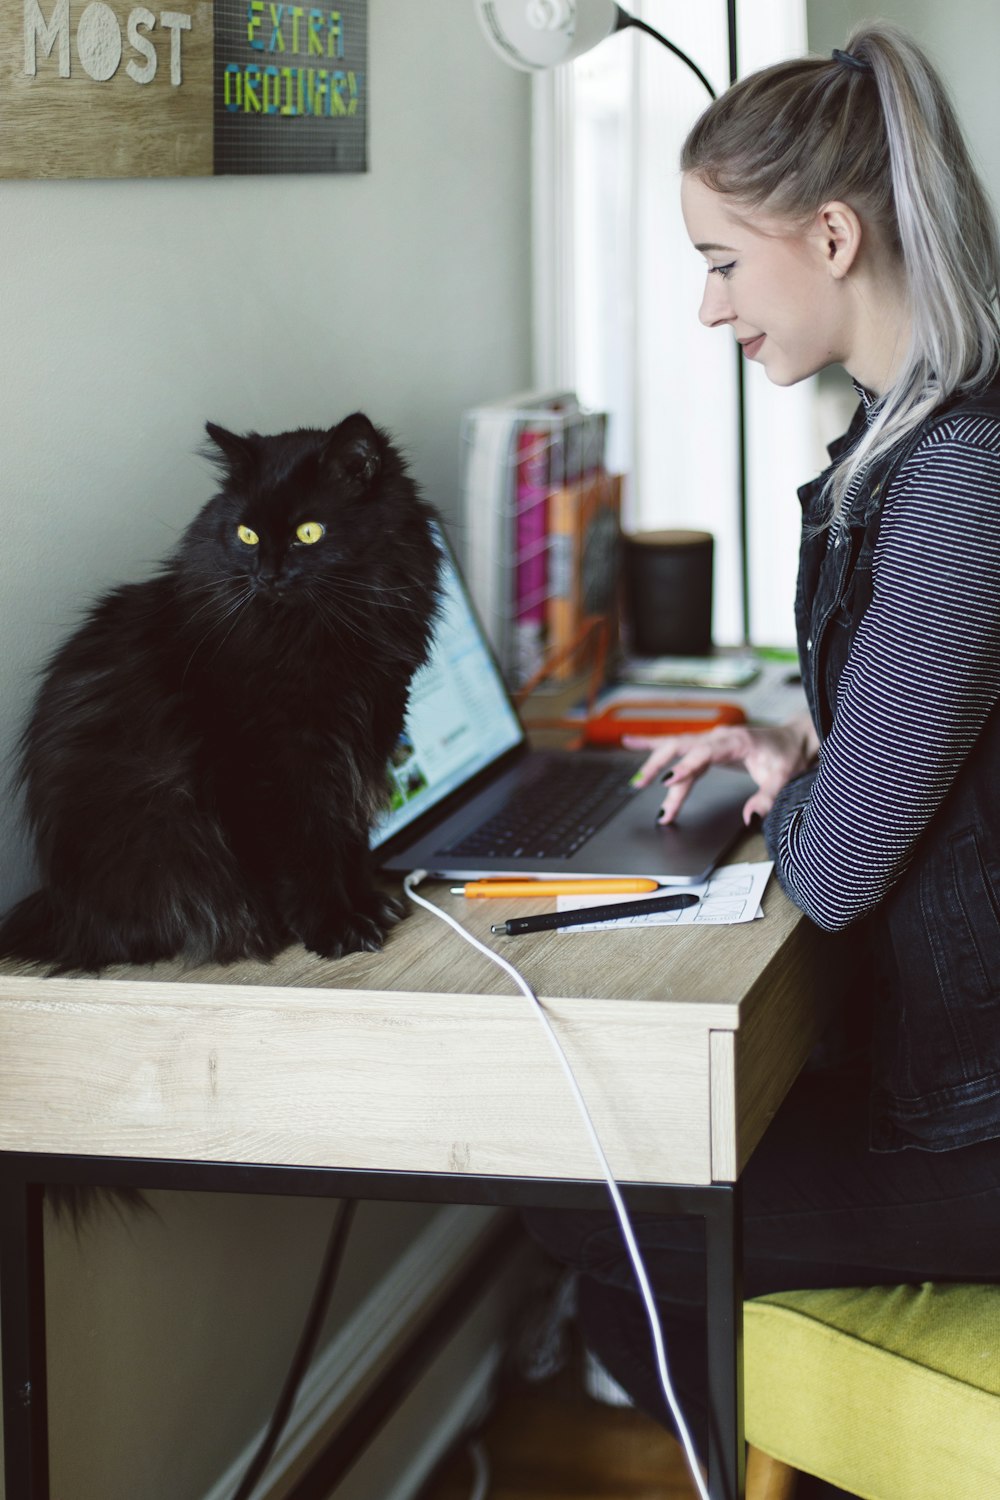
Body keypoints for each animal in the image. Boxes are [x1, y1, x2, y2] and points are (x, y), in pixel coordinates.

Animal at [0, 411, 440, 972]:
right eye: (246, 534)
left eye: (308, 533)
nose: (266, 574)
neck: (320, 630)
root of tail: (61, 910)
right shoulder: (271, 766)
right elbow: (308, 854)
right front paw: (336, 928)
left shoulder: (360, 742)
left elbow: (349, 840)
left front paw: (365, 904)